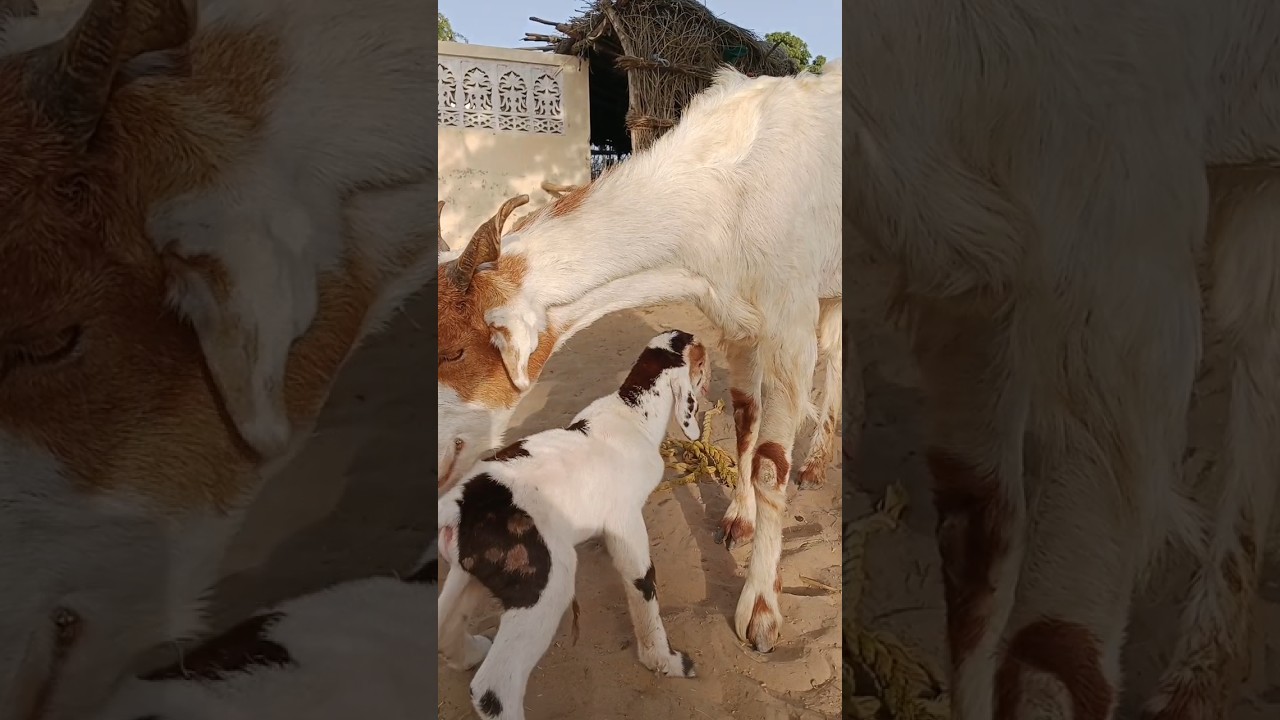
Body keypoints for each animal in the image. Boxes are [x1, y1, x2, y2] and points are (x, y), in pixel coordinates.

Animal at [437, 330, 708, 720]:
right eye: (701, 358)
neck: (631, 412)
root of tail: (458, 505)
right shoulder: (626, 522)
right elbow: (643, 587)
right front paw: (664, 661)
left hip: (468, 571)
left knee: (445, 628)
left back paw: (471, 650)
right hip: (546, 585)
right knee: (493, 689)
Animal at [438, 60, 842, 653]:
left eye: (457, 350)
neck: (726, 192)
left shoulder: (788, 325)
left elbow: (771, 463)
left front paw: (762, 610)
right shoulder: (736, 319)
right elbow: (746, 421)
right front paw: (738, 520)